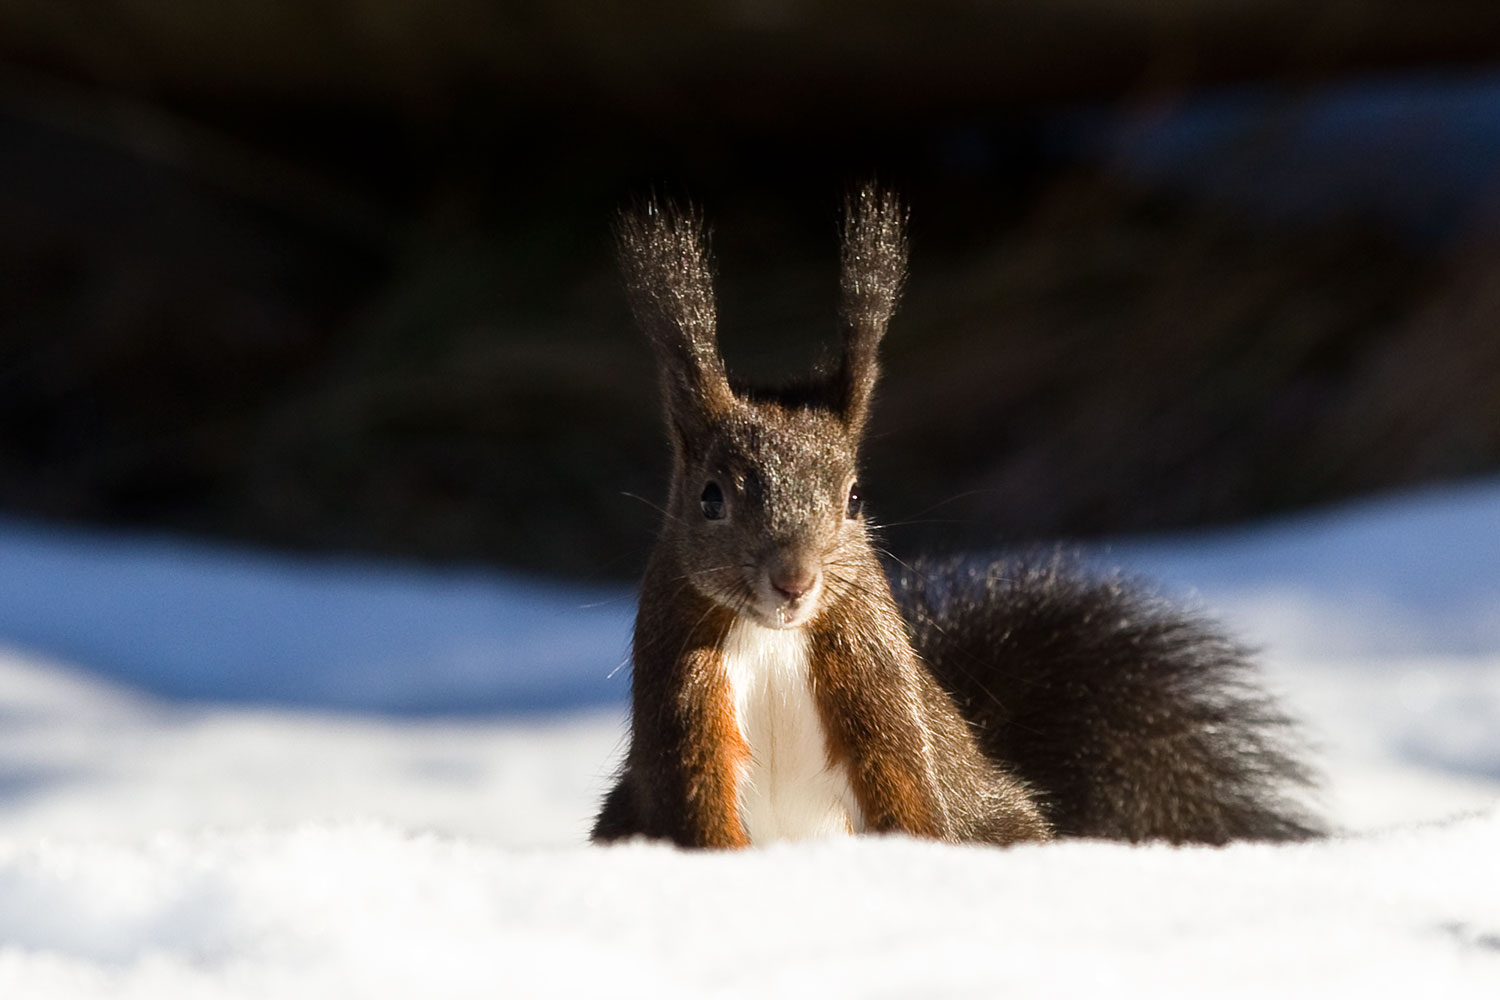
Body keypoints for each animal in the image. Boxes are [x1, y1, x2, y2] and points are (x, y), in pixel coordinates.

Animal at [591, 185, 1320, 845]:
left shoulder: (880, 691)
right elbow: (699, 818)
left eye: (854, 497)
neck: (773, 639)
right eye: (712, 497)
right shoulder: (685, 707)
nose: (793, 580)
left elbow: (918, 805)